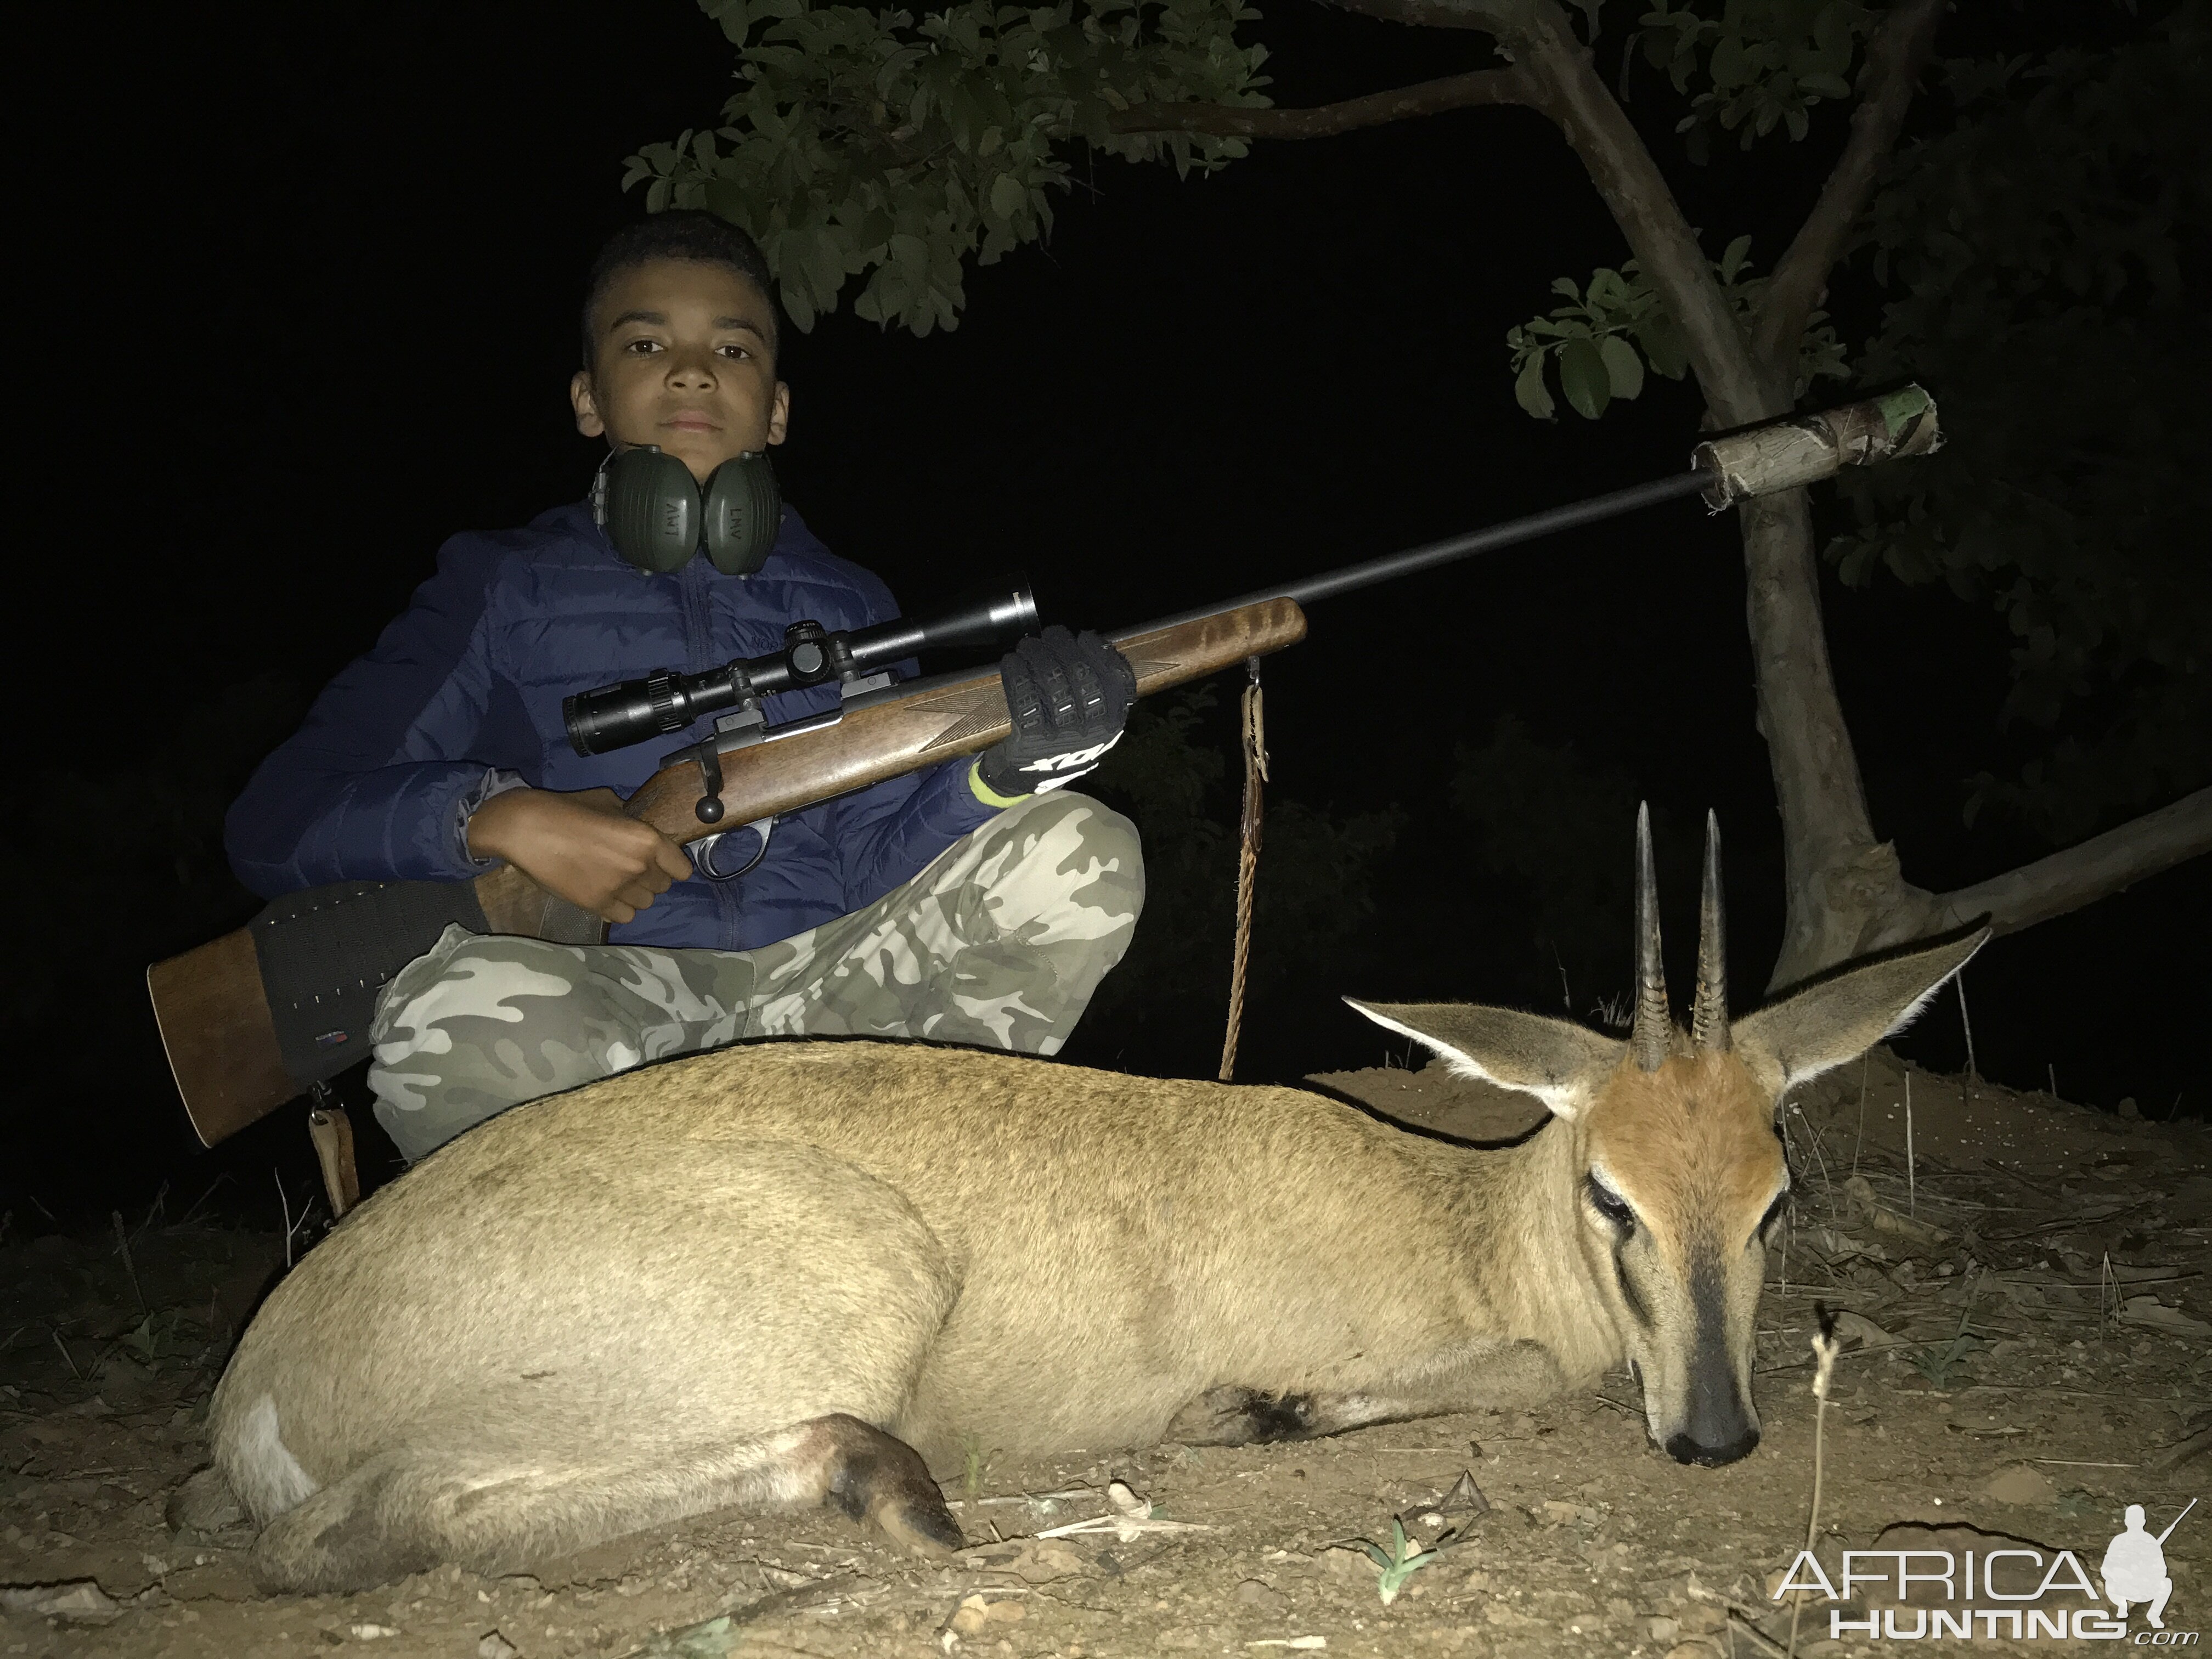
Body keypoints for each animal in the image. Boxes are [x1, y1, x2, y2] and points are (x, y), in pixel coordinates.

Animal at [181, 814, 1990, 1593]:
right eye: (1612, 1195)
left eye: (1771, 1198)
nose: (1716, 1439)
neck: (1462, 1217)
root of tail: (260, 1373)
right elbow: (1481, 1379)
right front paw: (1251, 1416)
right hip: (830, 1298)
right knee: (371, 1530)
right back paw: (883, 1487)